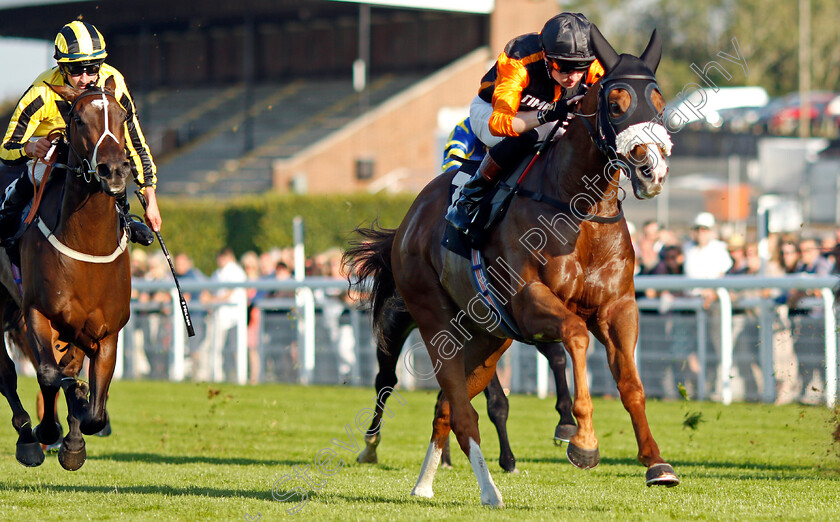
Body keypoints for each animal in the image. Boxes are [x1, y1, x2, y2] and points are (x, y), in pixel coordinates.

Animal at [0, 76, 130, 468]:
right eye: (78, 119)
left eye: (123, 116)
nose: (113, 170)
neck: (87, 245)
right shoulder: (38, 312)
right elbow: (48, 374)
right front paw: (48, 432)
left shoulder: (106, 330)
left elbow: (93, 407)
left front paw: (77, 435)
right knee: (7, 372)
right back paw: (28, 438)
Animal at [344, 26, 680, 506]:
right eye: (615, 103)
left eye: (659, 102)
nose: (651, 169)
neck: (580, 210)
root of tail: (410, 220)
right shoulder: (529, 300)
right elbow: (575, 337)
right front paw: (582, 441)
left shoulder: (619, 306)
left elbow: (632, 385)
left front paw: (656, 463)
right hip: (434, 321)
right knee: (450, 406)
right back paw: (487, 490)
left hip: (487, 336)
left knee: (447, 406)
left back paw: (425, 484)